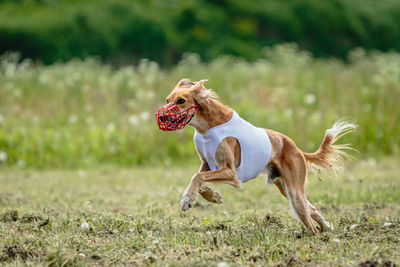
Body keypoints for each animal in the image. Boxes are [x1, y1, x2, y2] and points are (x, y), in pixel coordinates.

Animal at [156, 78, 356, 234]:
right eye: (168, 99)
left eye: (181, 101)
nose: (162, 117)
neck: (207, 126)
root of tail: (297, 149)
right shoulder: (207, 163)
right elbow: (199, 179)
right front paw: (213, 196)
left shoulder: (231, 173)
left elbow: (197, 177)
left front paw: (187, 200)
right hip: (285, 187)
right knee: (311, 208)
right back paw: (327, 228)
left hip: (294, 192)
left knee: (309, 221)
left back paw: (317, 233)